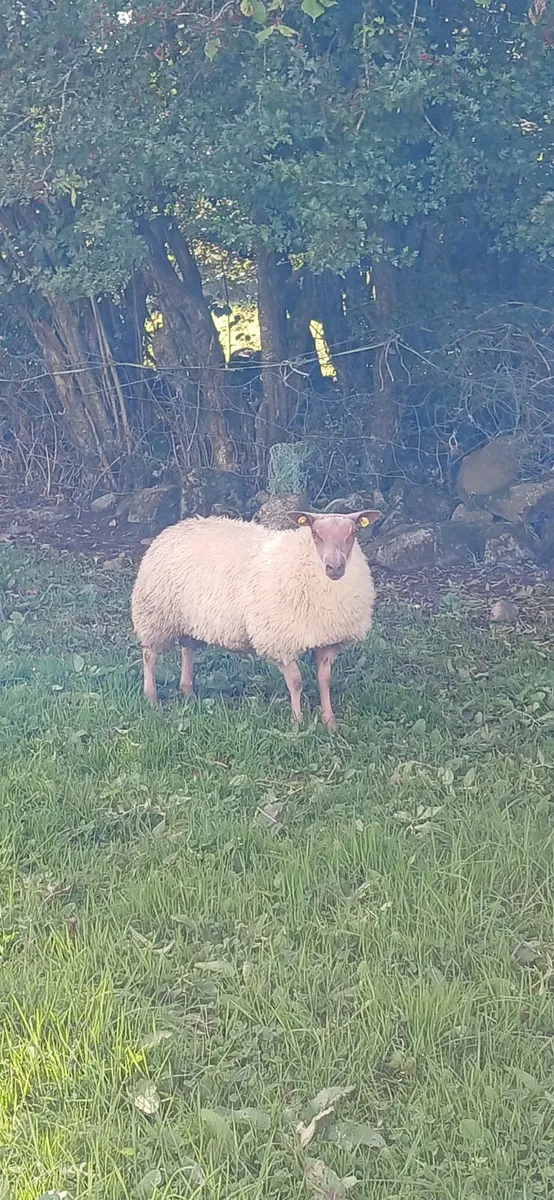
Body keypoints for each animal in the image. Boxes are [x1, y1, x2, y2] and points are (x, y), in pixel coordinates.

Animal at [130, 509, 380, 729]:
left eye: (353, 532)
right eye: (315, 533)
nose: (334, 567)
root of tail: (177, 527)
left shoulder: (329, 640)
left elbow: (324, 680)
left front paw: (330, 723)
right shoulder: (279, 641)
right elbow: (296, 683)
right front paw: (297, 723)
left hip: (191, 619)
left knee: (188, 649)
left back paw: (188, 692)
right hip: (155, 615)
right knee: (149, 655)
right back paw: (152, 698)